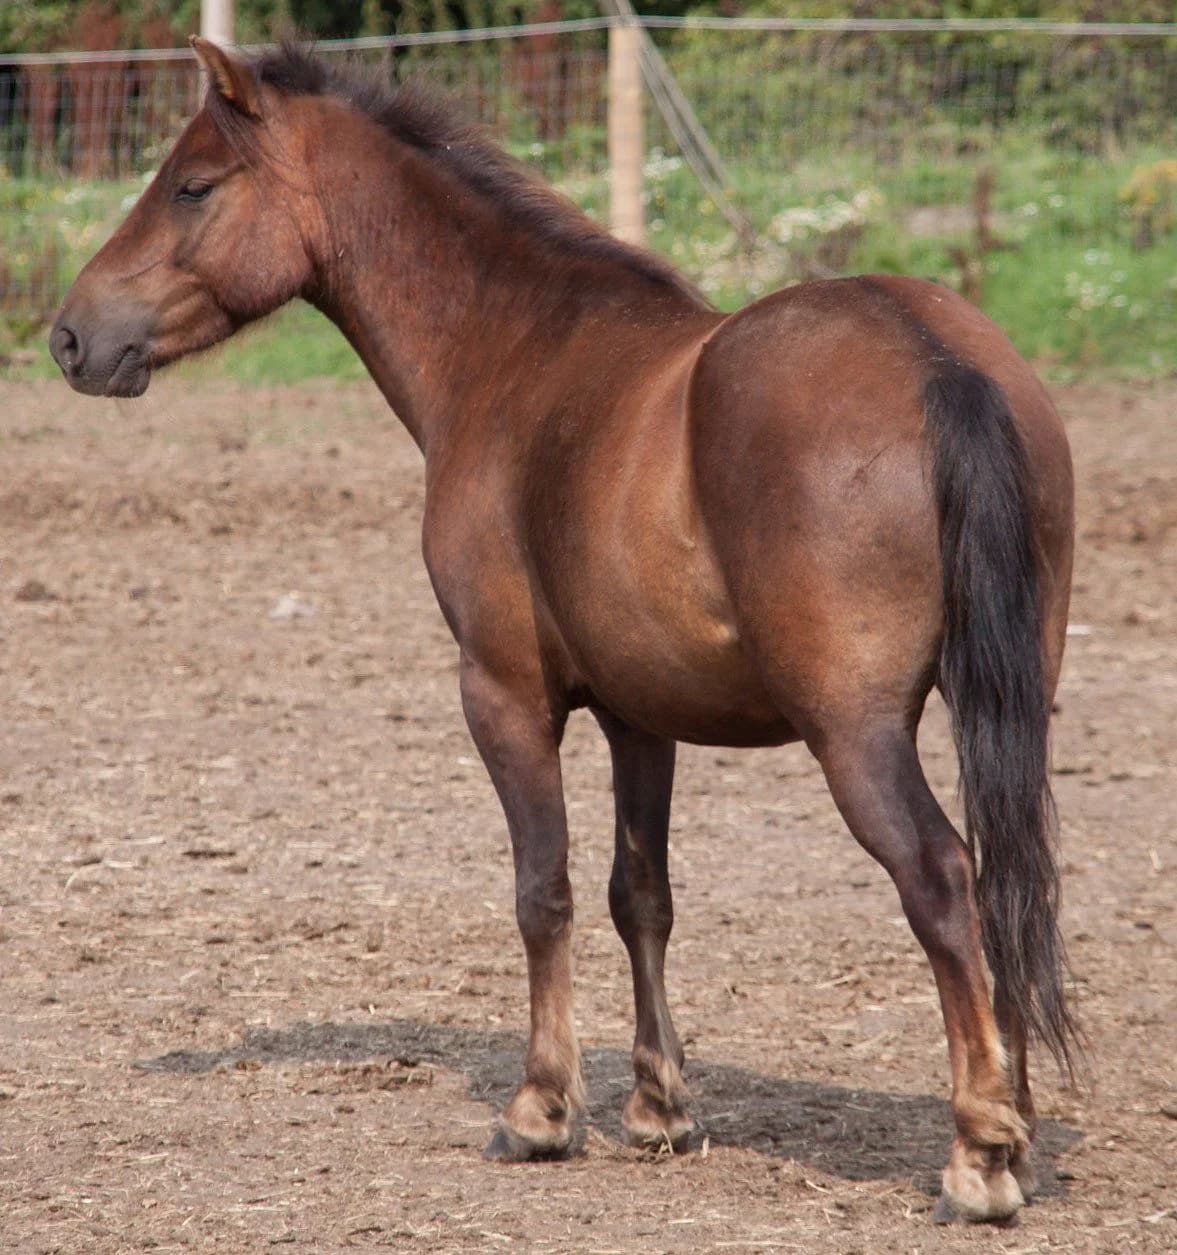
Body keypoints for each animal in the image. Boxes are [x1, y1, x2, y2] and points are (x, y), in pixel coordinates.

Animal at [49, 38, 1078, 1224]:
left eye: (192, 186)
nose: (70, 336)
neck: (514, 353)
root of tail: (933, 358)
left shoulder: (503, 694)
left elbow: (542, 890)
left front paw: (541, 1108)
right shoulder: (643, 715)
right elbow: (643, 897)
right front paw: (658, 1106)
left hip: (856, 734)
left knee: (943, 880)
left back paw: (979, 1152)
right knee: (1009, 881)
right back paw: (1016, 1121)